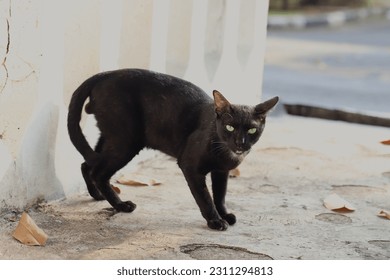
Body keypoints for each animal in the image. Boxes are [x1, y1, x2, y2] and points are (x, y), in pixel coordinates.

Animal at [68, 69, 278, 231]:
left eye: (252, 130)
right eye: (230, 127)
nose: (240, 143)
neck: (225, 150)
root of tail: (105, 74)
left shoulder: (221, 172)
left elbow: (220, 195)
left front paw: (224, 215)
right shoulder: (190, 167)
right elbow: (205, 197)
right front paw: (215, 221)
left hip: (112, 138)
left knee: (87, 164)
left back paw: (97, 195)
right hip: (125, 142)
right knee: (99, 172)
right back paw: (121, 205)